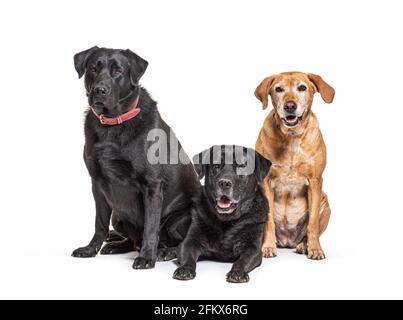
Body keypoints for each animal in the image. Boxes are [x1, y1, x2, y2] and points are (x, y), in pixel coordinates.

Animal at [72, 46, 201, 268]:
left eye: (118, 71)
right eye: (93, 69)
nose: (99, 90)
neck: (113, 123)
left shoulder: (152, 185)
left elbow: (151, 226)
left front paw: (147, 258)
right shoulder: (97, 183)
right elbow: (99, 223)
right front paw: (90, 249)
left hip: (180, 218)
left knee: (180, 241)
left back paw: (164, 252)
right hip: (118, 216)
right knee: (133, 240)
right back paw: (116, 245)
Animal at [174, 145, 272, 282]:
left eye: (242, 166)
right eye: (216, 166)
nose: (224, 182)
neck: (227, 221)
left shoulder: (253, 248)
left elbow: (242, 261)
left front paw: (237, 272)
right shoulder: (190, 241)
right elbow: (187, 255)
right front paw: (185, 268)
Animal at [256, 71, 334, 258]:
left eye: (302, 88)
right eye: (278, 89)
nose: (290, 106)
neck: (291, 137)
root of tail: (287, 241)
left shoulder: (315, 181)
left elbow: (312, 223)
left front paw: (315, 249)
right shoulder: (265, 181)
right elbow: (269, 221)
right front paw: (267, 247)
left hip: (325, 203)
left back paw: (304, 245)